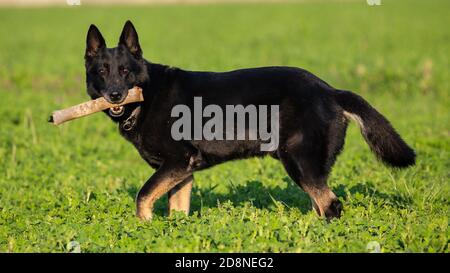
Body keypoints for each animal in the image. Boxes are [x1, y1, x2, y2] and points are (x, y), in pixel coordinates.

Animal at [84, 21, 414, 221]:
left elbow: (142, 196)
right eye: (101, 71)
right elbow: (177, 209)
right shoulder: (182, 172)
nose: (115, 95)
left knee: (331, 204)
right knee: (321, 203)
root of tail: (329, 90)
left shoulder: (177, 161)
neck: (146, 95)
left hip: (299, 161)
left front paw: (145, 224)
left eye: (125, 71)